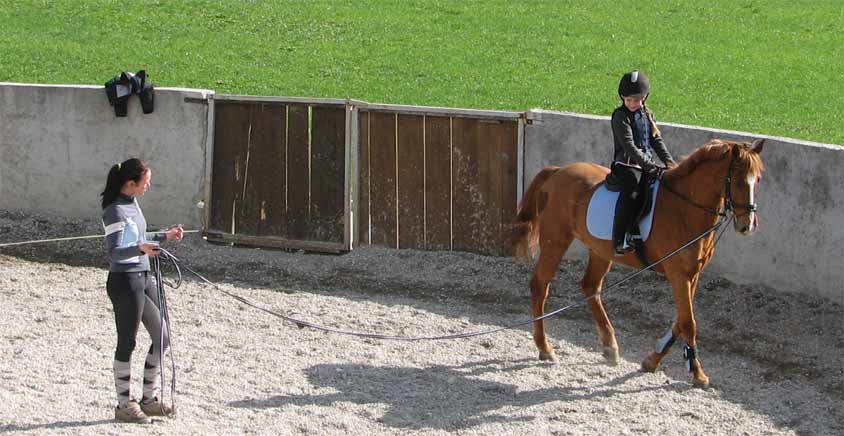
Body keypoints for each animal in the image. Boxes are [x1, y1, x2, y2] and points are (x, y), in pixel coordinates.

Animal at [512, 139, 765, 388]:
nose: (747, 225)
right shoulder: (678, 274)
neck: (685, 209)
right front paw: (698, 373)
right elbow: (688, 323)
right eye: (739, 181)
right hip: (555, 241)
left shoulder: (693, 274)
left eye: (759, 180)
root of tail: (557, 171)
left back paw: (610, 347)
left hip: (601, 250)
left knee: (590, 287)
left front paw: (652, 361)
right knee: (540, 286)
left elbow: (680, 320)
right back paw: (545, 348)